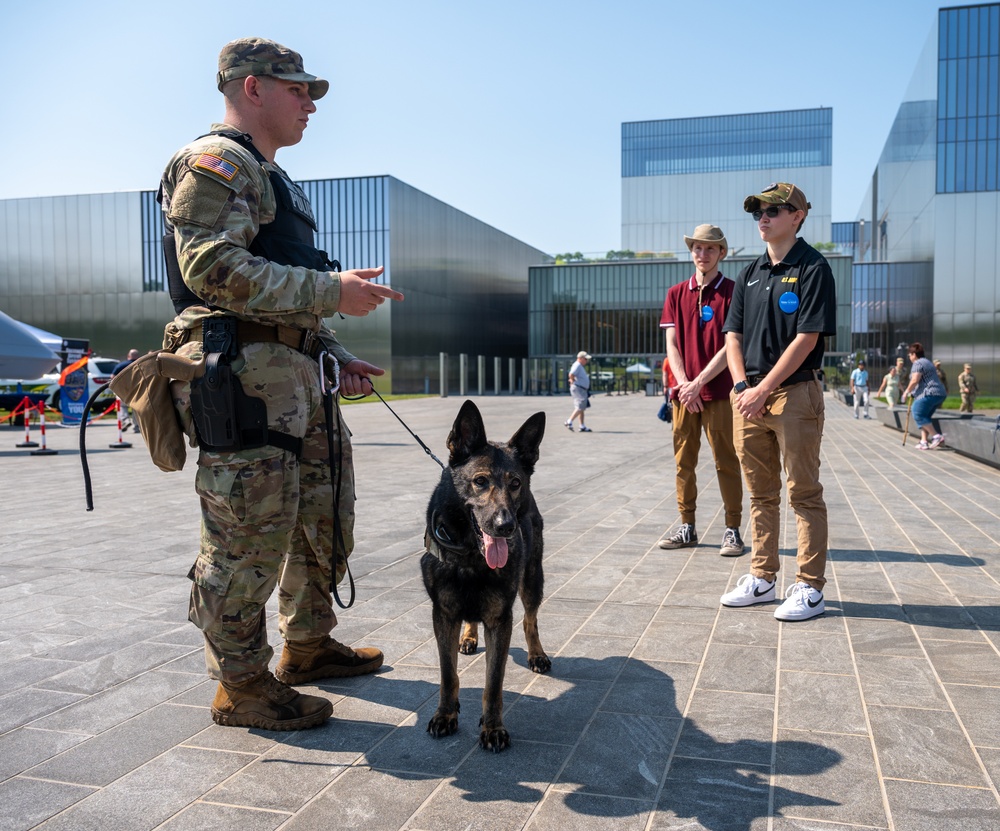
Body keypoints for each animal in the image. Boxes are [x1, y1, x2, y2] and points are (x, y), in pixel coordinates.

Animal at [420, 402, 552, 752]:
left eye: (515, 483)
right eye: (480, 481)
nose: (506, 526)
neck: (470, 556)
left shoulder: (500, 620)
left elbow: (493, 683)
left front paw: (493, 727)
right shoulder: (443, 615)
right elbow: (448, 674)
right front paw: (445, 714)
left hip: (533, 580)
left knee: (530, 620)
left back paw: (537, 654)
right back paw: (468, 637)